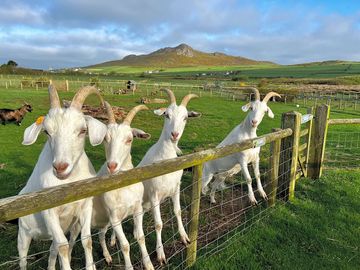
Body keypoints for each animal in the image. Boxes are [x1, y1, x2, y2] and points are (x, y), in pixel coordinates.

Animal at [17, 86, 107, 270]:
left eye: (83, 130)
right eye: (46, 131)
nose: (60, 167)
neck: (68, 182)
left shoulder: (85, 205)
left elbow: (86, 240)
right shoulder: (49, 211)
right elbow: (64, 247)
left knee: (53, 250)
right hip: (23, 234)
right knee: (23, 259)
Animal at [139, 88, 201, 264]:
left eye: (186, 117)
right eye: (166, 115)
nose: (174, 134)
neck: (164, 157)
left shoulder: (175, 188)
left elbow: (178, 211)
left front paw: (185, 237)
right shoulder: (154, 194)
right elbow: (158, 224)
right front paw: (160, 254)